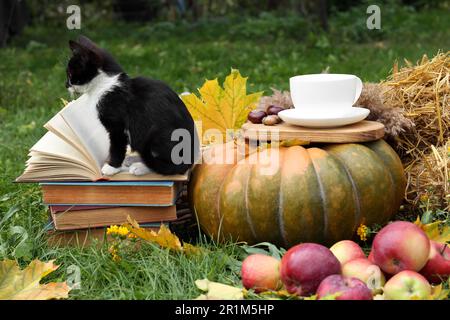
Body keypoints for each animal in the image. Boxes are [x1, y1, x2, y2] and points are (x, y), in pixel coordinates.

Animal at [65, 36, 199, 176]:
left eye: (70, 74)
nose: (66, 85)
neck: (105, 85)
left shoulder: (117, 125)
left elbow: (117, 147)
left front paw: (112, 167)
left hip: (158, 134)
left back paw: (140, 167)